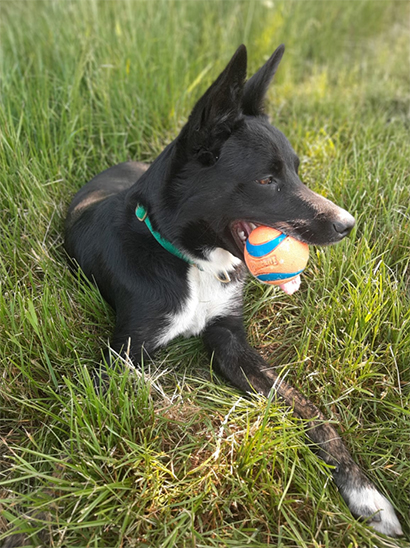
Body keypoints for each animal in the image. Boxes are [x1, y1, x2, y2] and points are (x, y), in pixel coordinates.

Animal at [65, 44, 402, 537]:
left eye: (297, 172)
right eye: (266, 180)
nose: (347, 225)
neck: (191, 260)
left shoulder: (231, 339)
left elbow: (309, 411)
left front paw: (365, 493)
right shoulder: (124, 354)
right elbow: (160, 400)